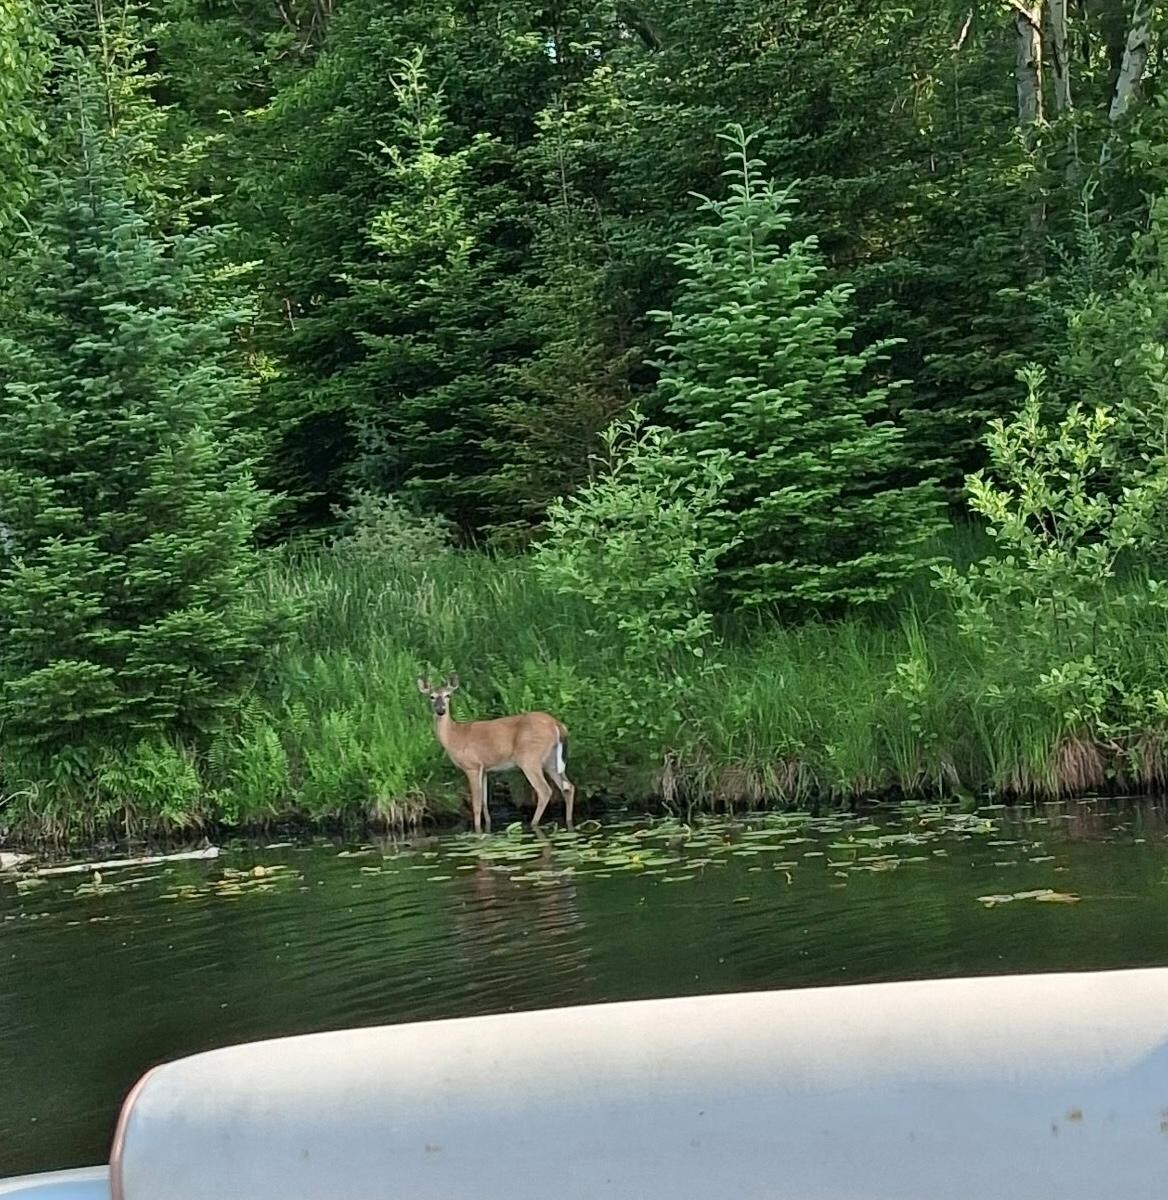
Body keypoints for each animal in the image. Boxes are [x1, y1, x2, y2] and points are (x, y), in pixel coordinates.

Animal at [417, 673, 576, 835]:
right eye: (431, 696)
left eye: (448, 695)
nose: (440, 710)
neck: (454, 736)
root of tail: (557, 724)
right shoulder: (485, 769)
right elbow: (485, 802)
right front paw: (487, 827)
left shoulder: (472, 766)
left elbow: (476, 805)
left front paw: (477, 831)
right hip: (551, 761)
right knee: (568, 787)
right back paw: (569, 823)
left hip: (530, 759)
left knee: (545, 790)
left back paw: (534, 824)